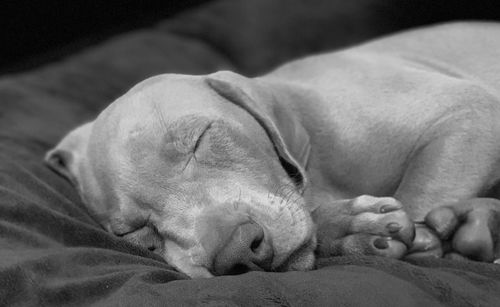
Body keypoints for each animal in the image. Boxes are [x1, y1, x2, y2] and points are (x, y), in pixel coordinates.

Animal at [45, 22, 498, 280]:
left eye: (202, 137)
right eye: (134, 231)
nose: (236, 252)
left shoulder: (471, 115)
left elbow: (420, 194)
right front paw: (349, 231)